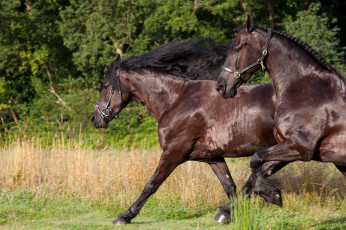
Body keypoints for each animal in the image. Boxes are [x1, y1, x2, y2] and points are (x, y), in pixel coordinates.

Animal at [90, 39, 282, 225]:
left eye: (105, 85)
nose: (94, 118)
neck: (175, 101)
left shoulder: (173, 152)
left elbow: (152, 184)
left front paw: (125, 216)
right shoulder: (213, 157)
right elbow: (229, 185)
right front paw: (231, 213)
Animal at [216, 17, 346, 206]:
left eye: (236, 48)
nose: (221, 86)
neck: (305, 90)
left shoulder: (300, 147)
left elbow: (255, 160)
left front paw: (271, 194)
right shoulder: (288, 147)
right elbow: (261, 168)